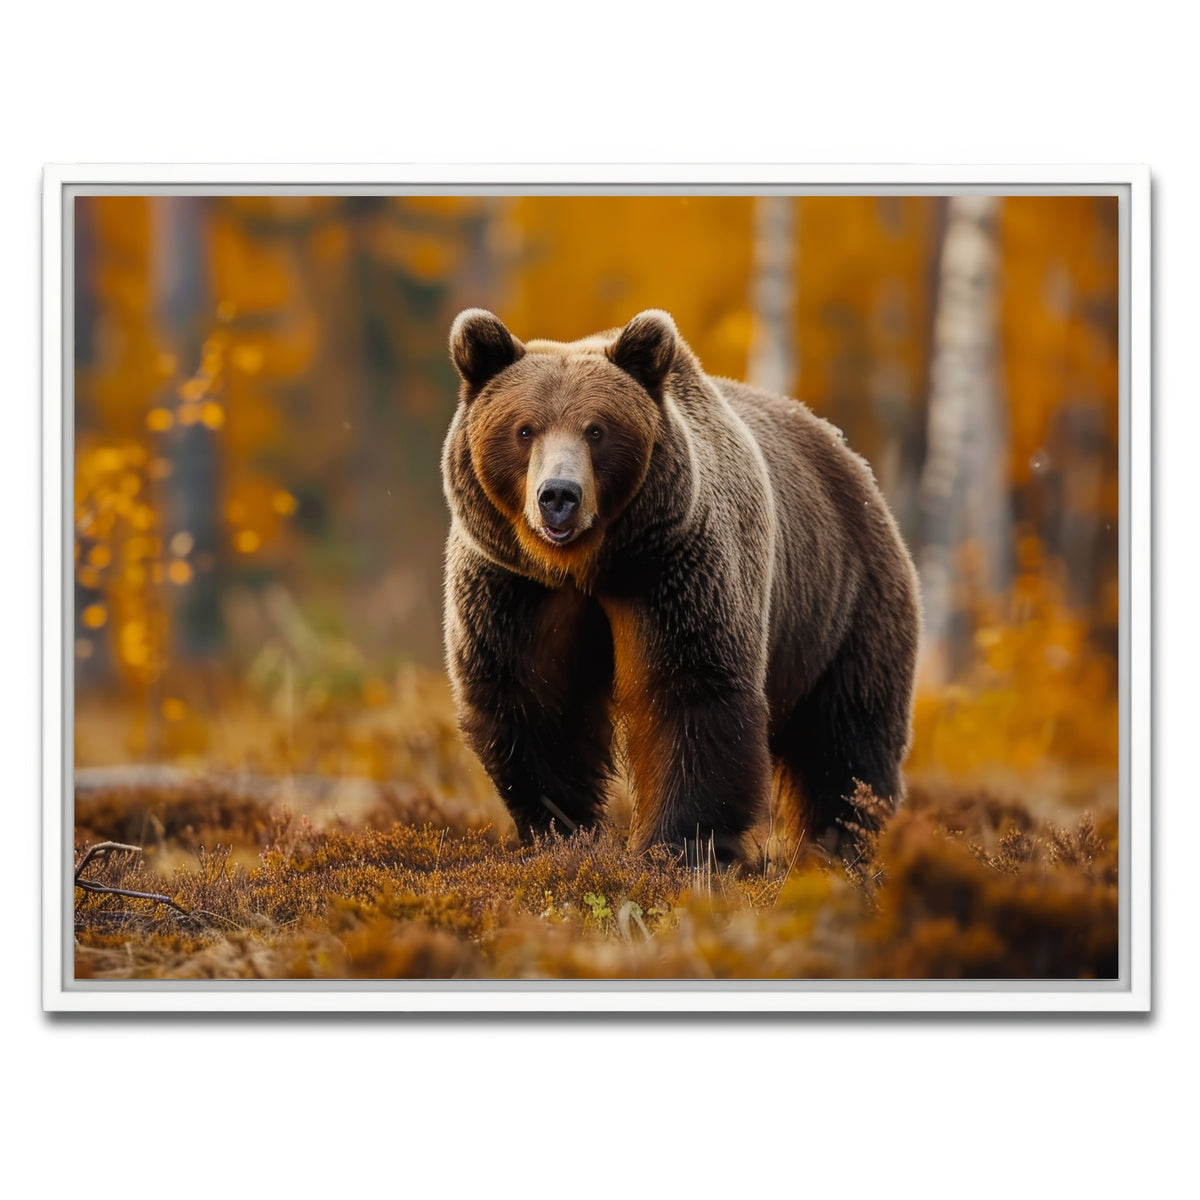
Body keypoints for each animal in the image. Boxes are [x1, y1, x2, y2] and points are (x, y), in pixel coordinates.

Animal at [441, 307, 920, 865]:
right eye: (524, 428)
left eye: (597, 429)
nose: (558, 495)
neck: (588, 565)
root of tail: (848, 456)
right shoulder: (516, 590)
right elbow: (534, 703)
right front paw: (563, 831)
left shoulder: (675, 570)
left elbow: (690, 692)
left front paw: (677, 845)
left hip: (846, 603)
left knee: (847, 735)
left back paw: (844, 842)